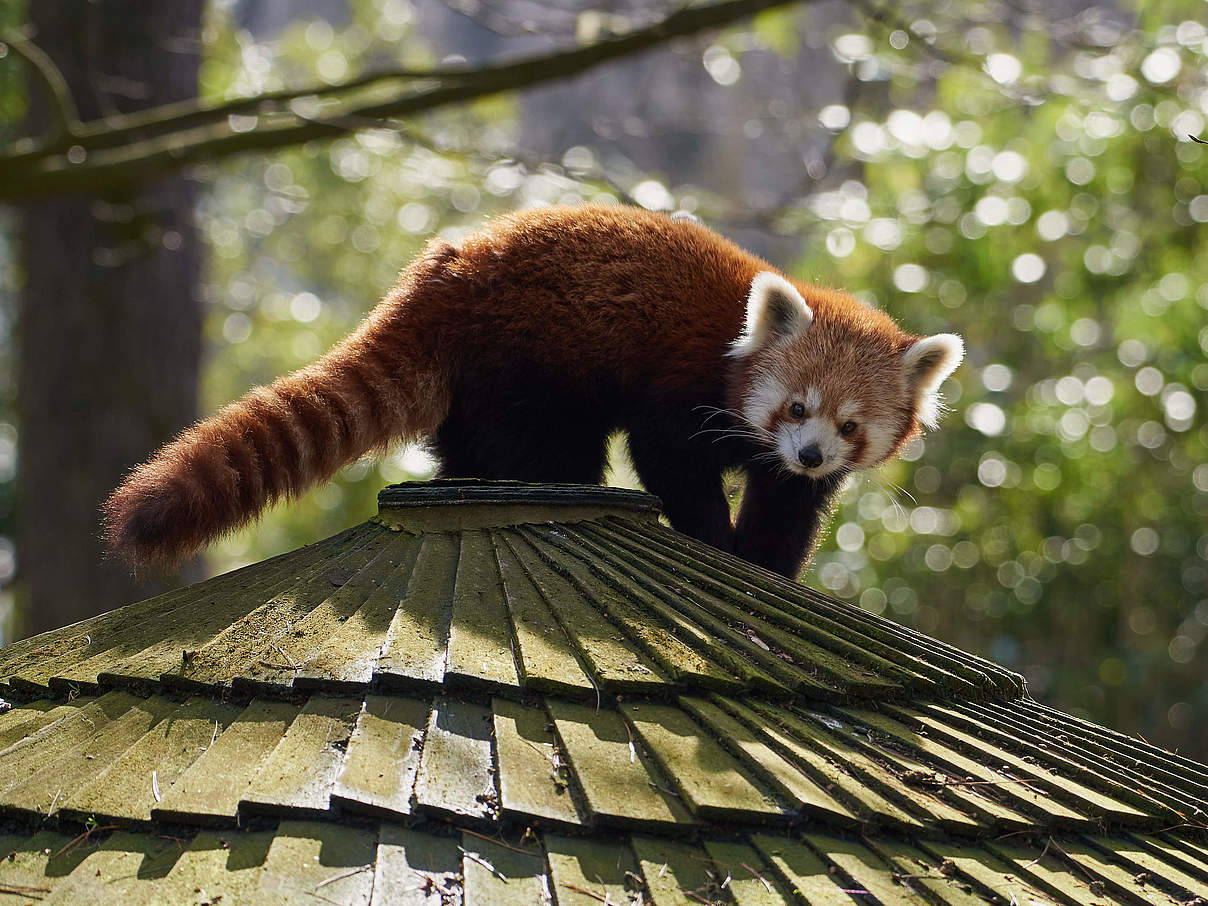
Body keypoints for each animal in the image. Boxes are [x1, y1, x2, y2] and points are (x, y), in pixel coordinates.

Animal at [101, 202, 961, 577]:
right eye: (797, 407)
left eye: (849, 426)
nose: (811, 452)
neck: (737, 347)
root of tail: (439, 274)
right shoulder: (680, 386)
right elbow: (670, 460)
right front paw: (714, 541)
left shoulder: (787, 471)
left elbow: (786, 508)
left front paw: (767, 563)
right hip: (529, 360)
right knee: (548, 446)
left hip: (478, 383)